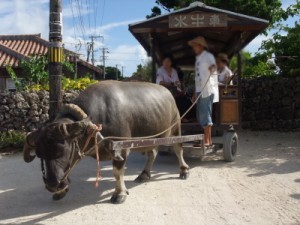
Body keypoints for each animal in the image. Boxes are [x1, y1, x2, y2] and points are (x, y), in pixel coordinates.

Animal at [22, 81, 190, 204]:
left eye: (62, 149)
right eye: (39, 153)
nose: (52, 185)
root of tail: (169, 93)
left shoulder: (121, 149)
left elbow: (117, 172)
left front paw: (120, 193)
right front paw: (61, 192)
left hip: (175, 128)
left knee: (178, 148)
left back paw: (184, 170)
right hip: (151, 137)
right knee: (152, 153)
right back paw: (144, 174)